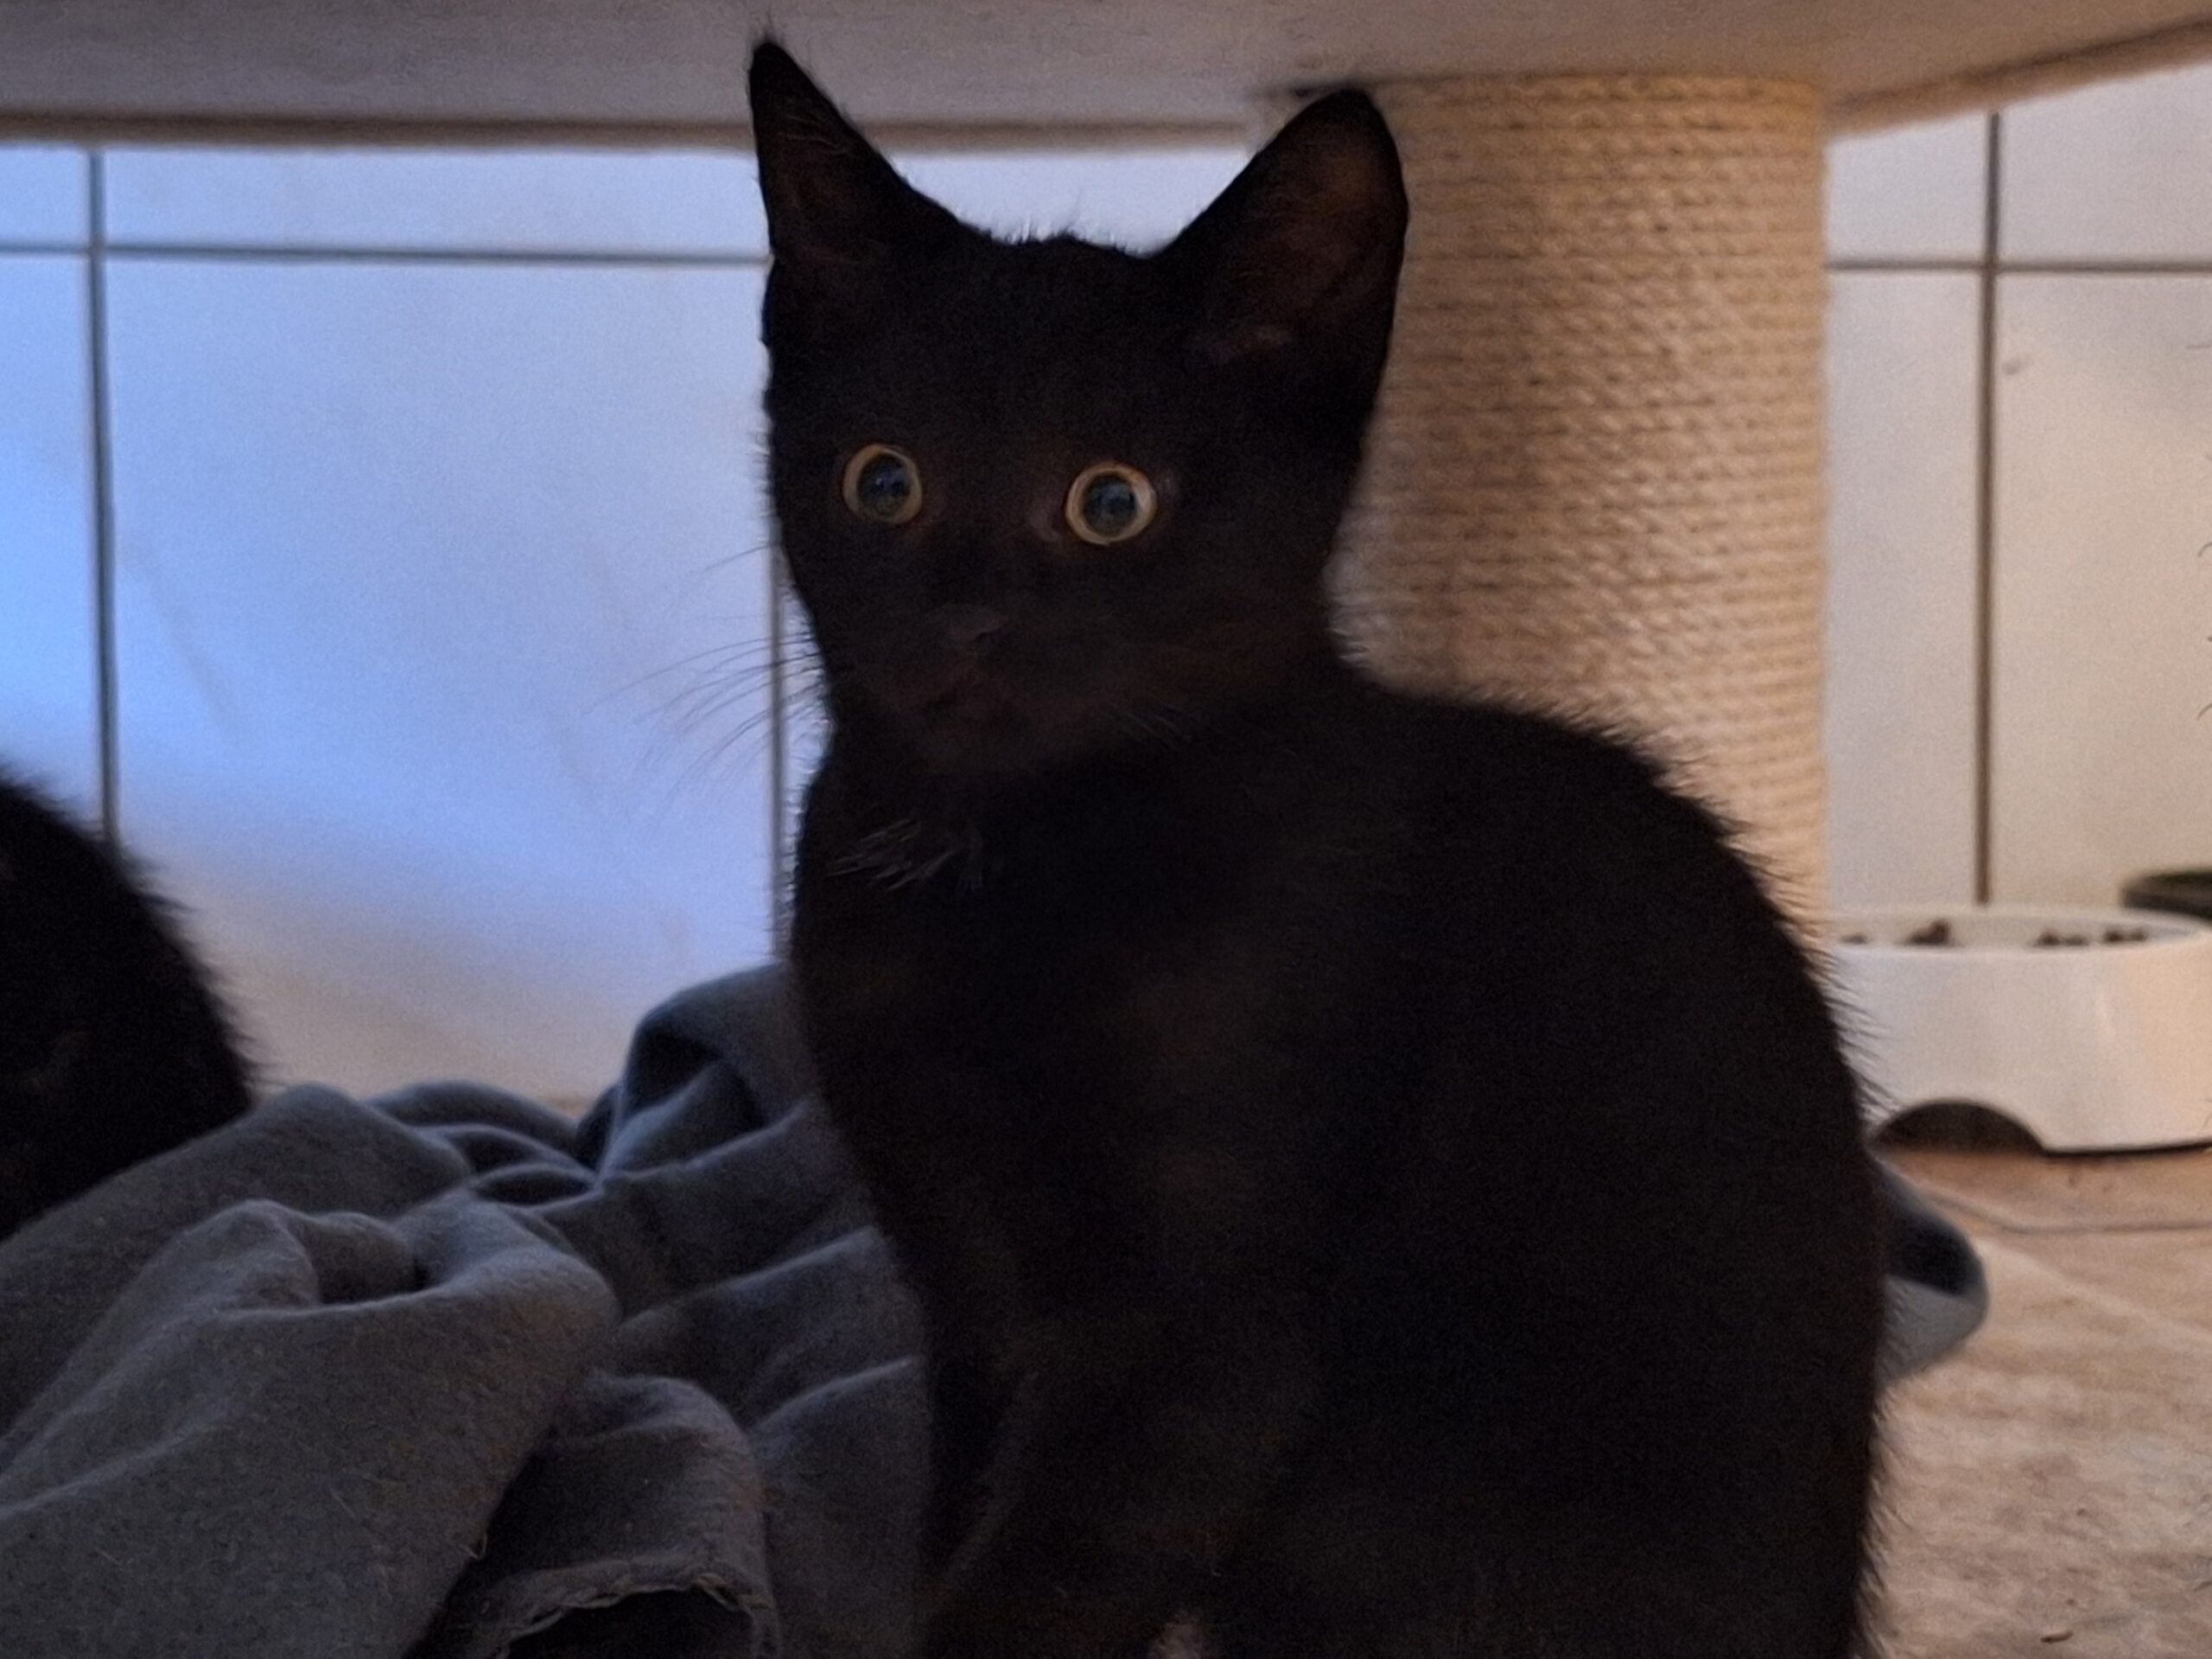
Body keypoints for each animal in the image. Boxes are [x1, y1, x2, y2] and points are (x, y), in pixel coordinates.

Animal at [750, 40, 1880, 1659]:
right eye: (882, 482)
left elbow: (1051, 1573)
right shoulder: (963, 1299)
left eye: (1112, 502)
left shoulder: (1203, 1334)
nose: (966, 621)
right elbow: (960, 1525)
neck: (1006, 863)